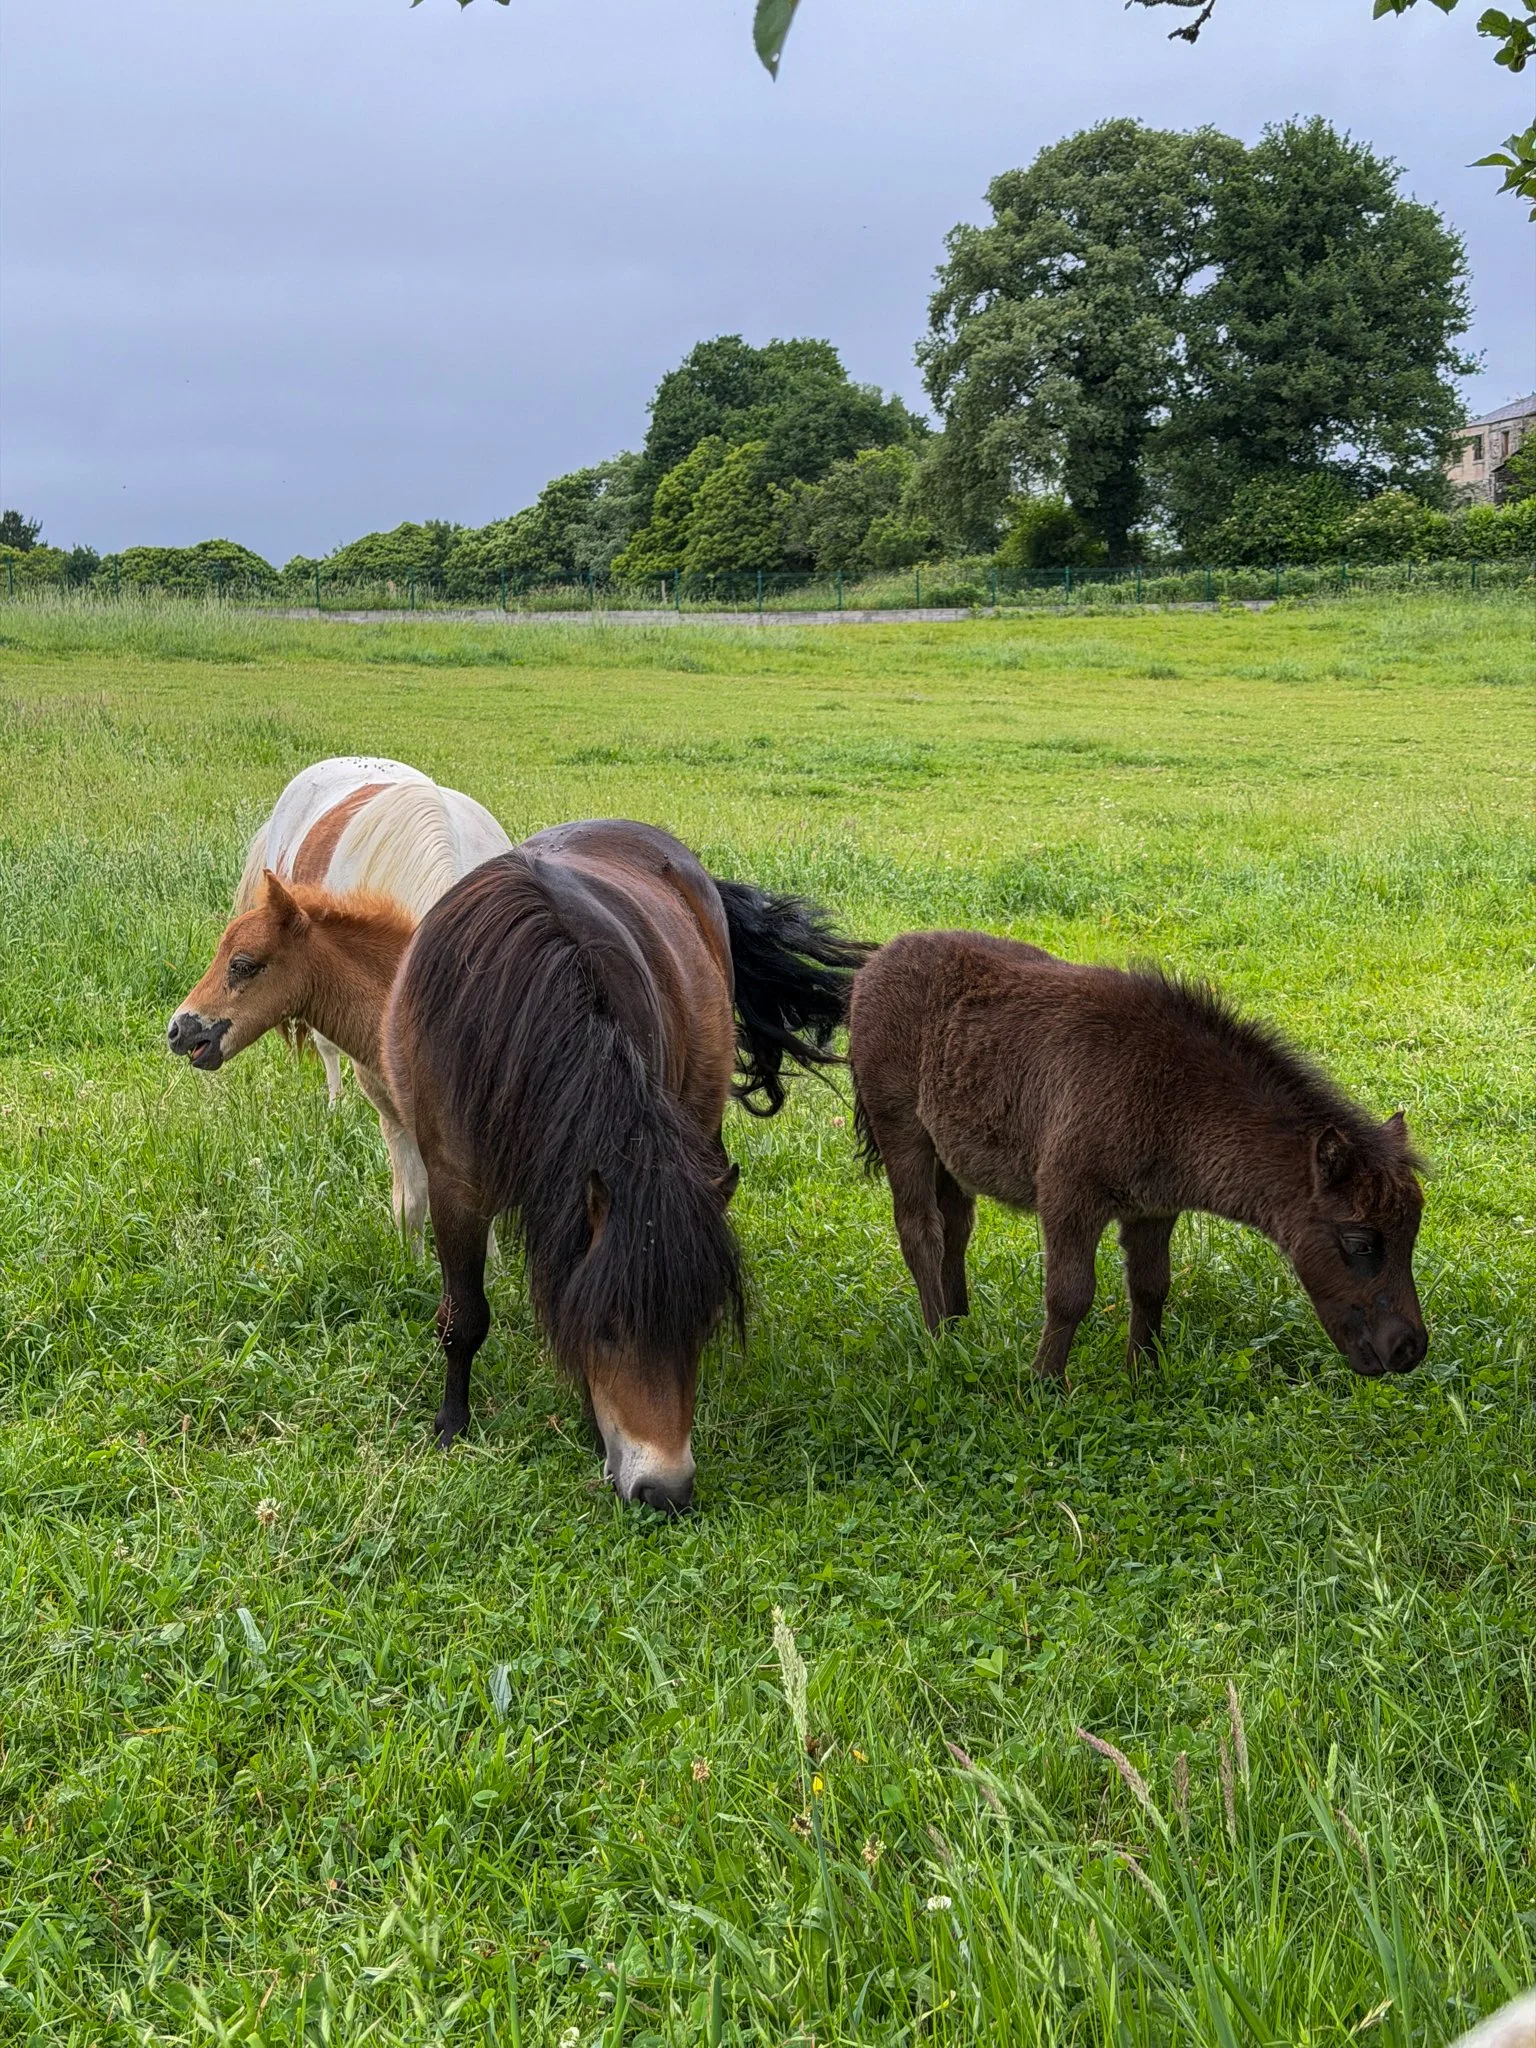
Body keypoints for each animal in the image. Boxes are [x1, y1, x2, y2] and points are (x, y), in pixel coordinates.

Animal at [382, 819, 870, 1508]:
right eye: (609, 1327)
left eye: (701, 1326)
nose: (665, 1491)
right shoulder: (456, 1187)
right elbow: (464, 1318)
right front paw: (451, 1426)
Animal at [848, 931, 1427, 1384]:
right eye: (1360, 1242)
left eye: (1411, 1235)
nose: (1409, 1349)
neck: (1169, 1094)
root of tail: (875, 962)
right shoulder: (1068, 1199)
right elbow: (1070, 1294)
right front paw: (1043, 1384)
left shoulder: (1153, 1209)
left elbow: (1151, 1287)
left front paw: (1142, 1374)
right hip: (903, 1132)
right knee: (920, 1229)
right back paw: (938, 1339)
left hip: (949, 1155)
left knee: (956, 1227)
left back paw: (959, 1327)